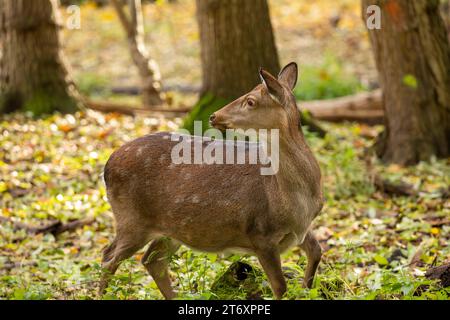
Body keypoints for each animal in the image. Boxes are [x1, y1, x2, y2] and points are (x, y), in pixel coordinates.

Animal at [99, 63, 324, 300]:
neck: (295, 201)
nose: (214, 116)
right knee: (108, 257)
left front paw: (307, 288)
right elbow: (280, 287)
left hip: (172, 228)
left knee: (152, 259)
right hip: (131, 218)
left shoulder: (301, 228)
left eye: (250, 101)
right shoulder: (260, 233)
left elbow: (317, 251)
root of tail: (107, 166)